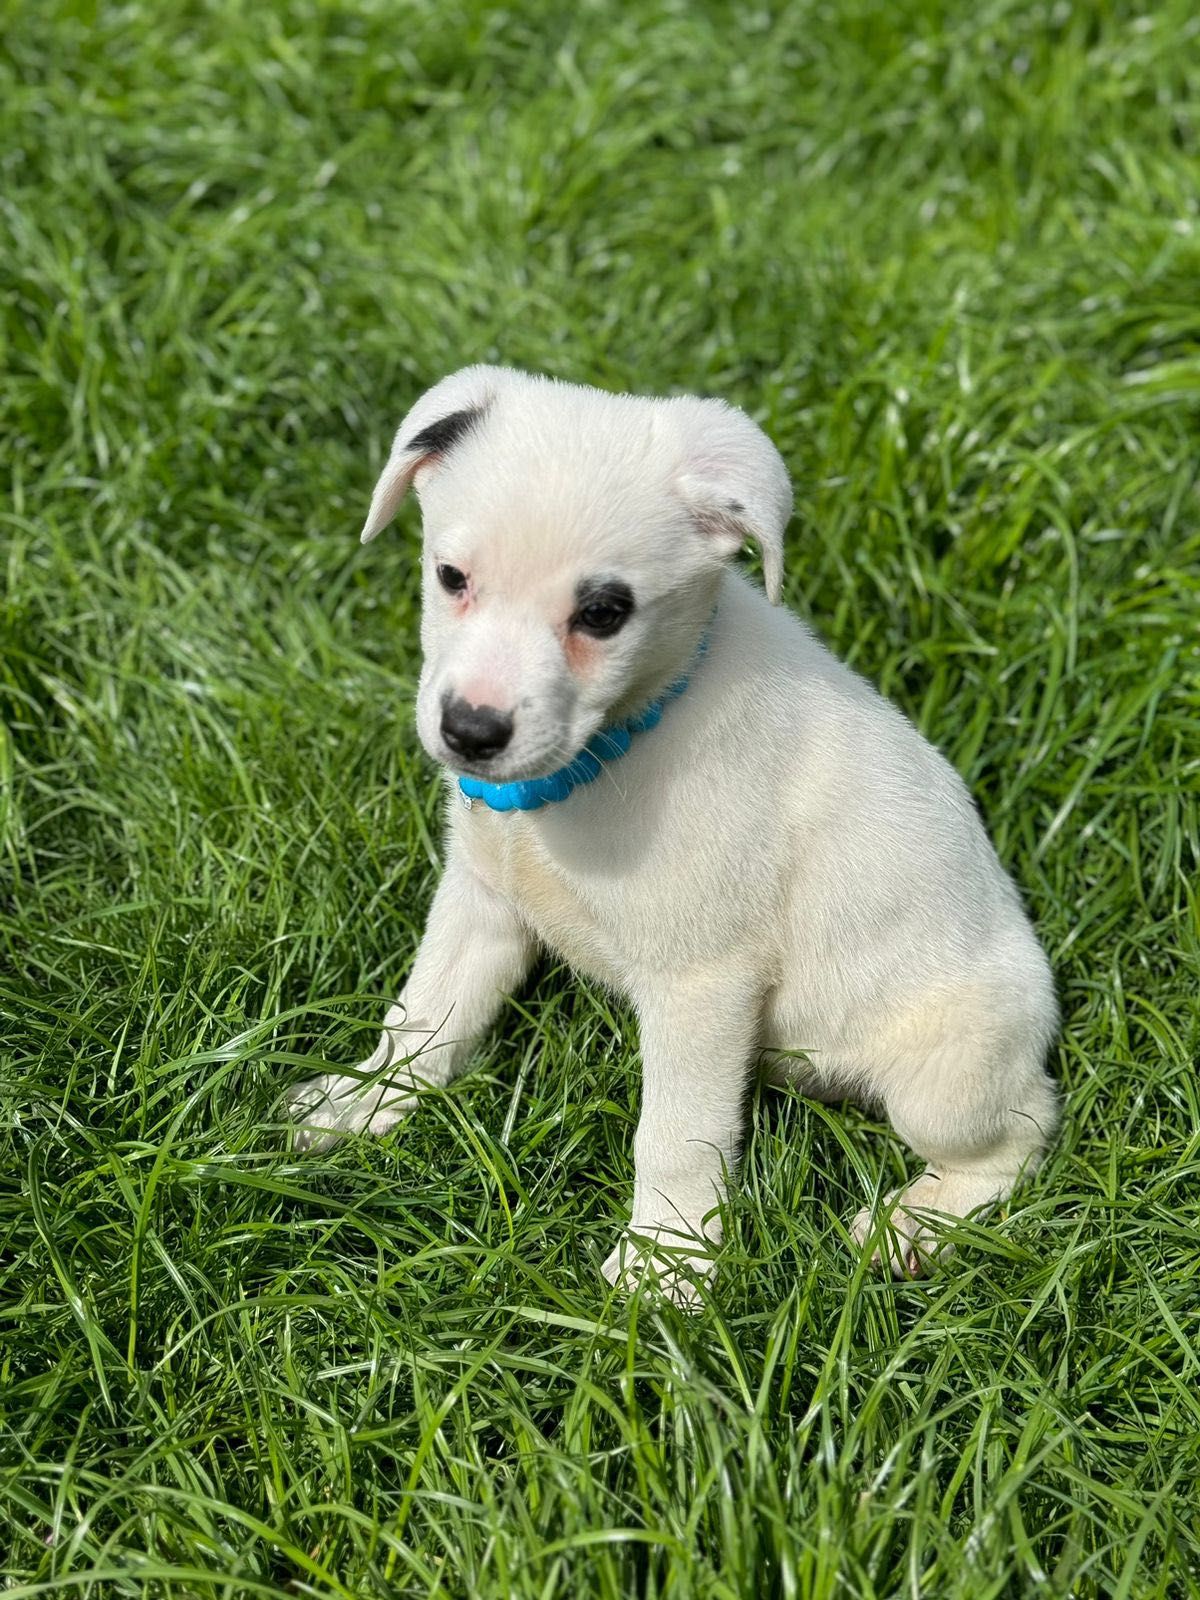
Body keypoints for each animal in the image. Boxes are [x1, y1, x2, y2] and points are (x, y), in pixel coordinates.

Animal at [291, 366, 1062, 1299]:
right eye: (450, 575)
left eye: (603, 611)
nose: (471, 732)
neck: (606, 755)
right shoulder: (481, 904)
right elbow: (424, 1021)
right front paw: (365, 1105)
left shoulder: (702, 984)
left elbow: (674, 1136)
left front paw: (666, 1263)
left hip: (947, 1077)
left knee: (1023, 1136)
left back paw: (914, 1226)